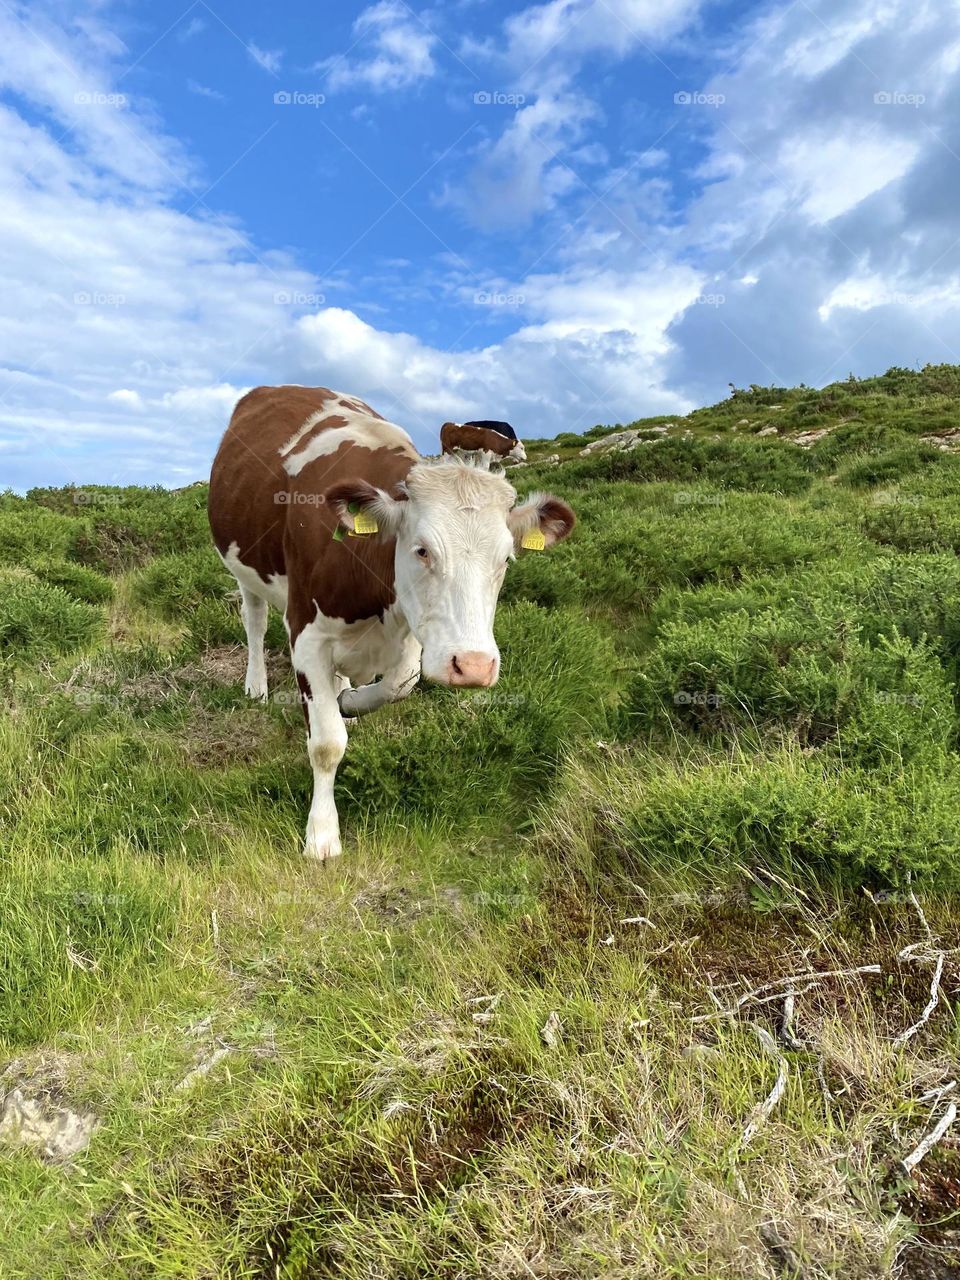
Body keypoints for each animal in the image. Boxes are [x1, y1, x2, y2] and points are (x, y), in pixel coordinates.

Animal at [208, 386, 575, 862]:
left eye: (506, 558)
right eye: (422, 550)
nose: (474, 666)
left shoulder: (413, 629)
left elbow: (400, 682)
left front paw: (350, 703)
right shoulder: (306, 633)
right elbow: (325, 744)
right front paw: (321, 833)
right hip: (244, 566)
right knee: (253, 619)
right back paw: (256, 684)